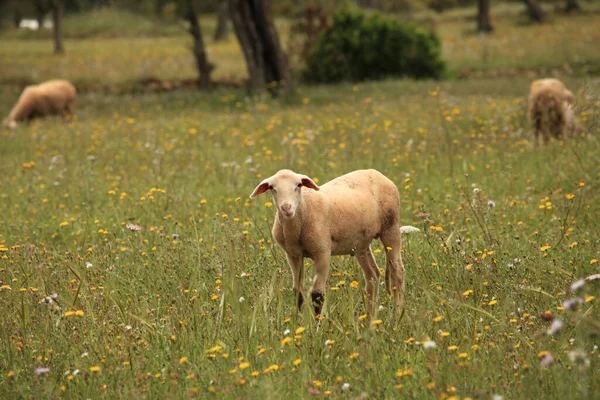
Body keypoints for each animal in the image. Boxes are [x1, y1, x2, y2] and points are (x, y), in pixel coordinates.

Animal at [248, 168, 412, 316]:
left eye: (299, 185)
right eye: (272, 188)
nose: (286, 208)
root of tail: (377, 173)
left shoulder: (322, 252)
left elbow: (317, 295)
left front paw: (317, 327)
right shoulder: (293, 255)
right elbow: (298, 292)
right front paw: (297, 324)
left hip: (391, 227)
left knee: (397, 272)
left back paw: (397, 314)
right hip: (360, 243)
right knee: (373, 275)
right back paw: (370, 320)